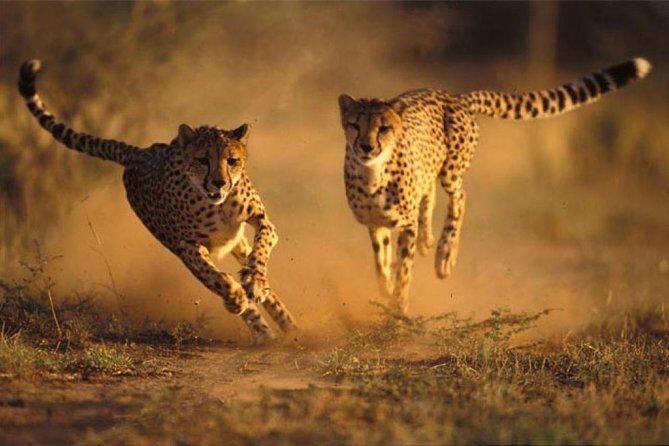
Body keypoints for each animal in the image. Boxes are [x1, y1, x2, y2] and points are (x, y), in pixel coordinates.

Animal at [18, 59, 296, 345]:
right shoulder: (186, 246)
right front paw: (235, 296)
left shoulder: (261, 220)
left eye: (232, 161)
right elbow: (214, 277)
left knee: (255, 270)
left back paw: (286, 324)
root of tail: (139, 152)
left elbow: (261, 248)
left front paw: (255, 282)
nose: (219, 183)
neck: (214, 204)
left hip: (235, 241)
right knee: (226, 285)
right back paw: (261, 327)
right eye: (202, 160)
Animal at [338, 58, 652, 314]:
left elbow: (404, 269)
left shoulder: (404, 225)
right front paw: (386, 286)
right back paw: (429, 242)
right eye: (354, 125)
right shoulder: (374, 222)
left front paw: (398, 309)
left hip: (451, 171)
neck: (372, 174)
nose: (366, 147)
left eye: (384, 128)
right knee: (429, 196)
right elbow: (381, 260)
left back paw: (445, 254)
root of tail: (455, 96)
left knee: (459, 197)